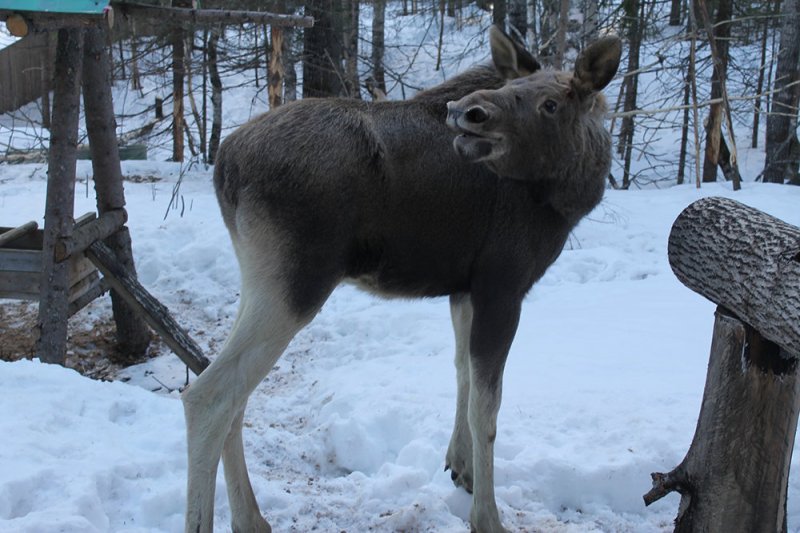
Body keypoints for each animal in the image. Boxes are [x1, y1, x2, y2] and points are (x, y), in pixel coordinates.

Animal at [184, 26, 620, 532]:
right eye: (515, 88)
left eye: (551, 103)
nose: (467, 112)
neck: (567, 196)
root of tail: (224, 166)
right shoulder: (503, 285)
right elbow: (487, 409)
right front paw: (486, 515)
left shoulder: (463, 289)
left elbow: (462, 373)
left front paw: (461, 468)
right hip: (295, 285)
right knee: (208, 397)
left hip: (258, 280)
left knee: (233, 396)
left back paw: (251, 518)